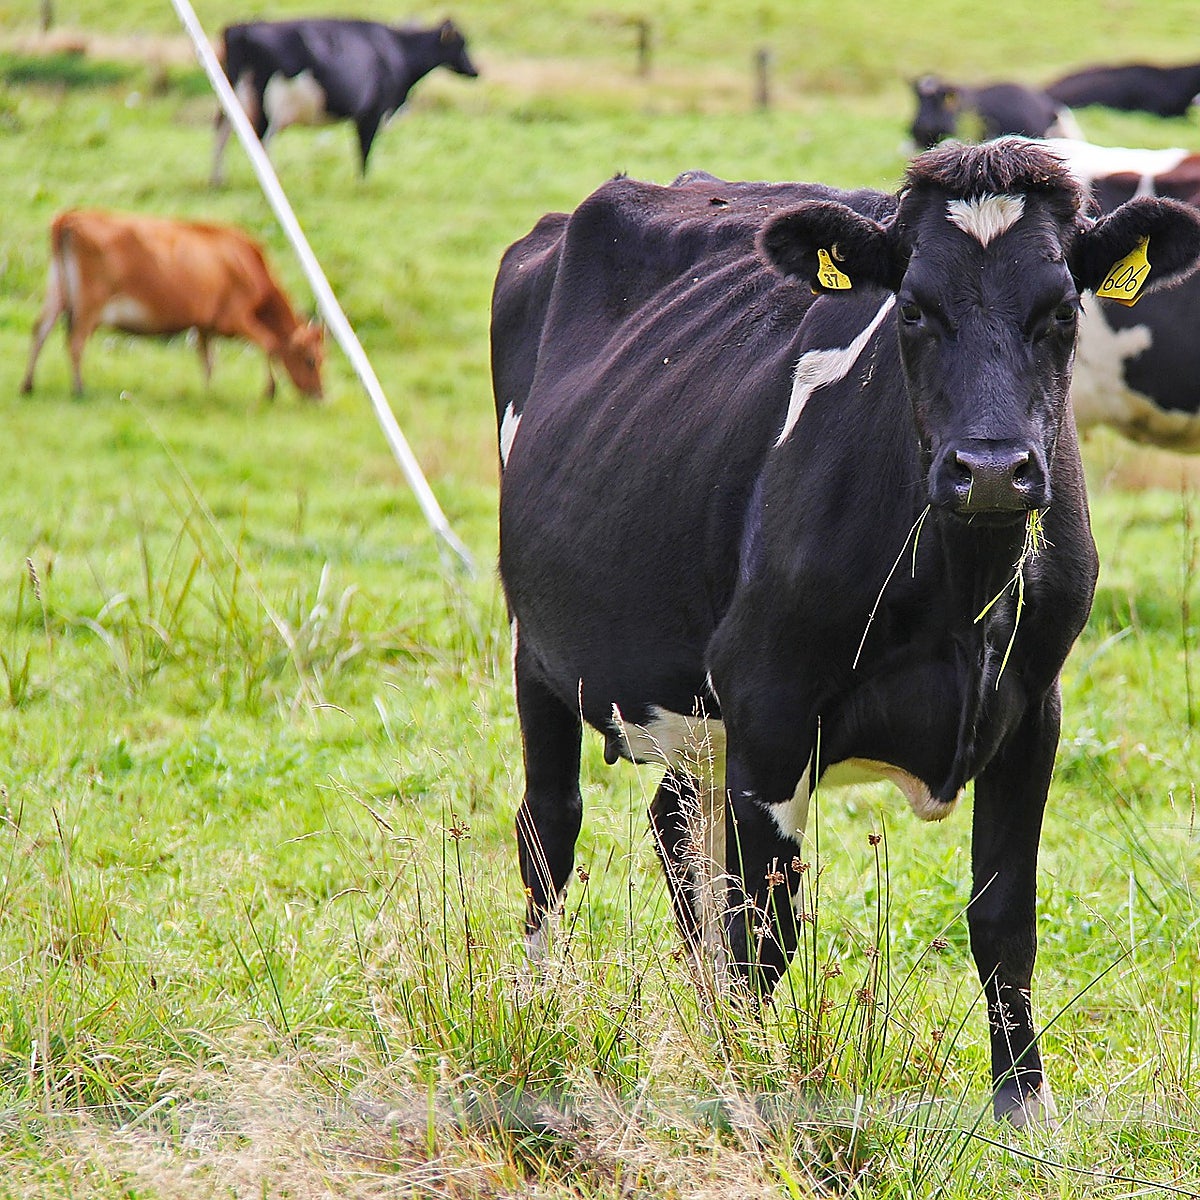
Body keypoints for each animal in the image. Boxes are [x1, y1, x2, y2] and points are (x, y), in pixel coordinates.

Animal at [21, 210, 324, 399]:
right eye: (311, 360)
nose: (320, 395)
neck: (245, 263)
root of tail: (71, 217)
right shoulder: (235, 318)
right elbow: (270, 345)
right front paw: (270, 391)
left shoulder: (204, 325)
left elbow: (207, 360)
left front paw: (209, 392)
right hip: (89, 307)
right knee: (75, 342)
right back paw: (79, 388)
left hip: (57, 294)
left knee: (39, 331)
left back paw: (28, 385)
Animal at [211, 17, 479, 185]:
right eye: (461, 45)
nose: (475, 71)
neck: (397, 51)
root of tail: (241, 29)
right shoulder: (372, 112)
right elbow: (365, 149)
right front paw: (362, 184)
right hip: (268, 105)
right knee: (262, 140)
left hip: (234, 96)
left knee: (223, 131)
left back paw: (218, 180)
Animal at [491, 139, 1200, 1124]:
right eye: (914, 308)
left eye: (1063, 309)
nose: (991, 469)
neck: (960, 596)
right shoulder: (770, 700)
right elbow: (764, 929)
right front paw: (754, 1083)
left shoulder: (1035, 706)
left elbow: (1004, 917)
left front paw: (1022, 1101)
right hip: (544, 653)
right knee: (550, 833)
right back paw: (538, 1008)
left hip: (695, 713)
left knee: (674, 828)